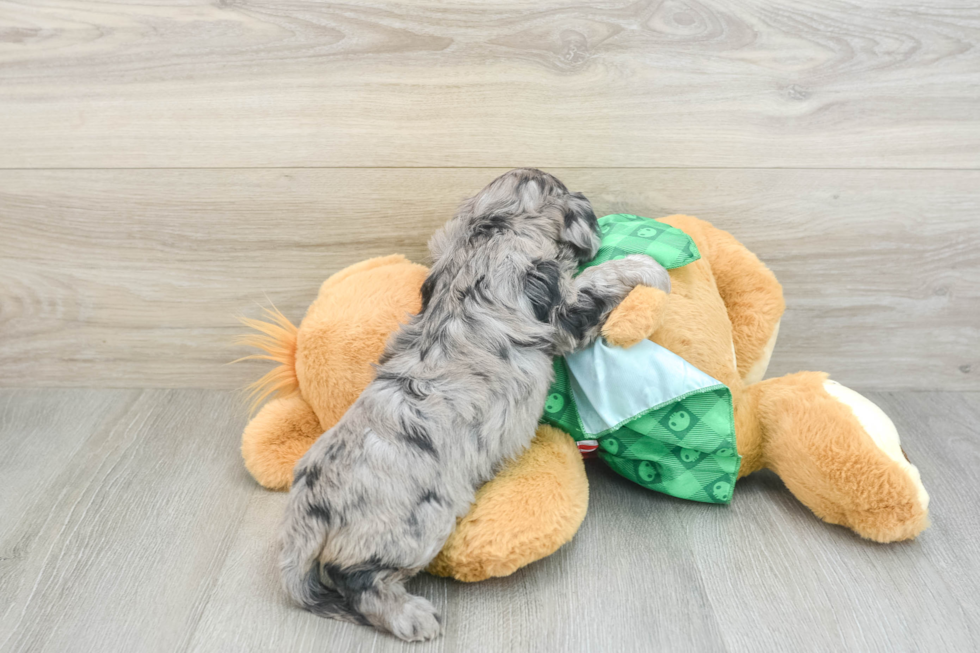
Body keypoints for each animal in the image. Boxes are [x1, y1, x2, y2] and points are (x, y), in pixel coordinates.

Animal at [280, 167, 668, 636]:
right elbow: (597, 281)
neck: (482, 238)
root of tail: (307, 512)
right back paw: (410, 616)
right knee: (356, 577)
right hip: (414, 525)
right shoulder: (563, 311)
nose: (596, 210)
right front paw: (649, 267)